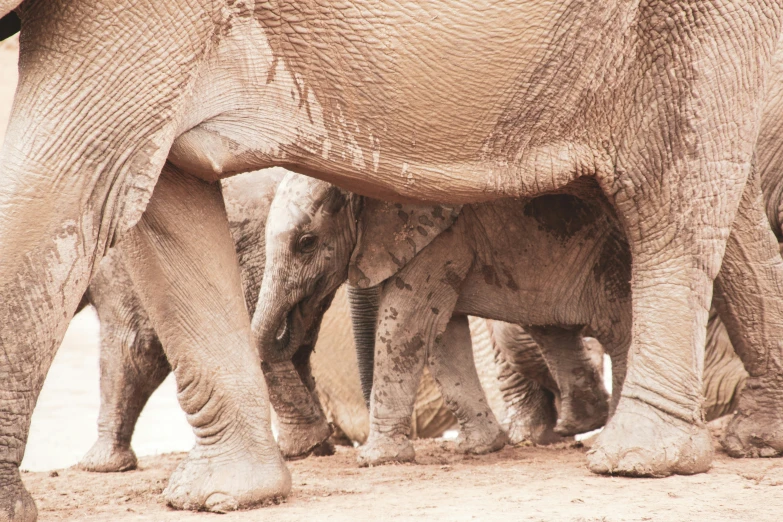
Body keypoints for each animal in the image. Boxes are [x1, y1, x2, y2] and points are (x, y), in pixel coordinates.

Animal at [1, 2, 783, 516]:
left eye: (309, 244)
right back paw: (747, 439)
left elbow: (69, 176)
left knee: (677, 194)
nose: (326, 448)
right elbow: (162, 203)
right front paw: (223, 498)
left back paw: (633, 460)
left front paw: (380, 460)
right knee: (732, 213)